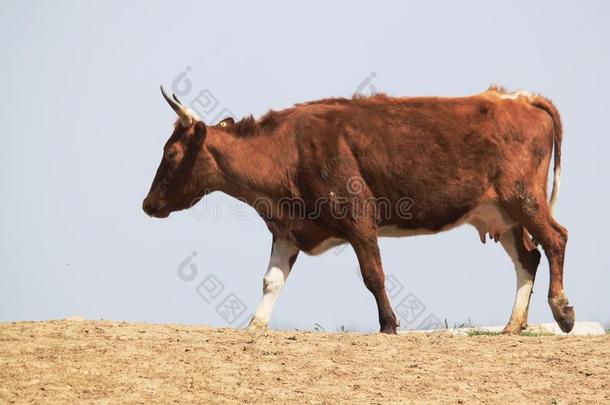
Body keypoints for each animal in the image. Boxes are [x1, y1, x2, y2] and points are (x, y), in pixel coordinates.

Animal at [141, 83, 568, 332]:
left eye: (171, 153)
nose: (147, 204)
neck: (288, 151)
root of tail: (514, 96)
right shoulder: (288, 230)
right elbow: (271, 281)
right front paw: (254, 326)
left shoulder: (359, 218)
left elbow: (373, 275)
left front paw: (389, 326)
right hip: (502, 214)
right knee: (528, 257)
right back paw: (513, 326)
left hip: (523, 197)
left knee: (556, 239)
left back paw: (562, 310)